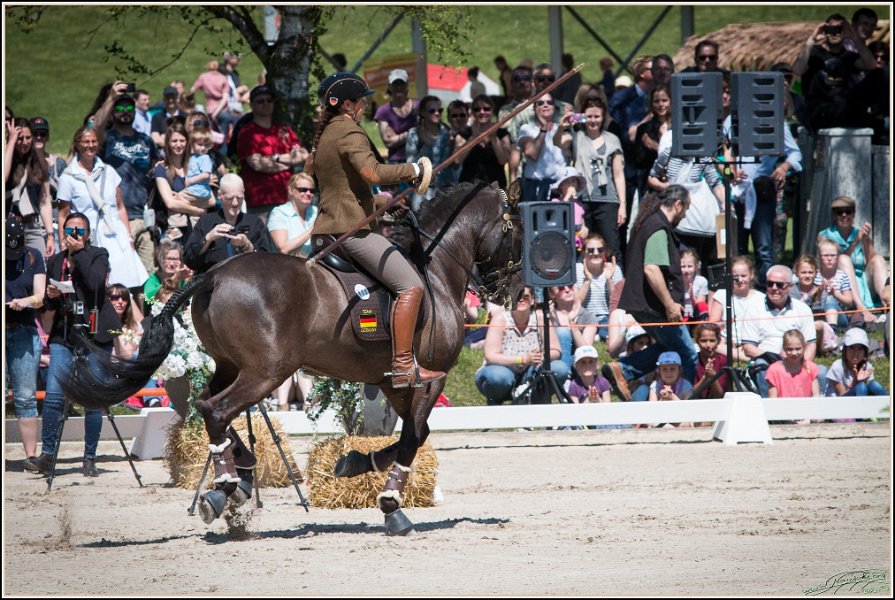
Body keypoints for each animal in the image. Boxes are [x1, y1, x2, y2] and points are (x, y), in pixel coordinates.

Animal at [62, 181, 524, 536]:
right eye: (517, 230)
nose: (515, 291)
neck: (434, 271)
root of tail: (215, 273)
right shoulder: (430, 378)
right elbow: (414, 437)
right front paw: (392, 504)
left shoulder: (395, 381)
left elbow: (416, 434)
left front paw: (355, 462)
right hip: (268, 372)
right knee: (216, 409)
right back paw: (225, 484)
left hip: (233, 366)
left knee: (207, 405)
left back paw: (240, 471)